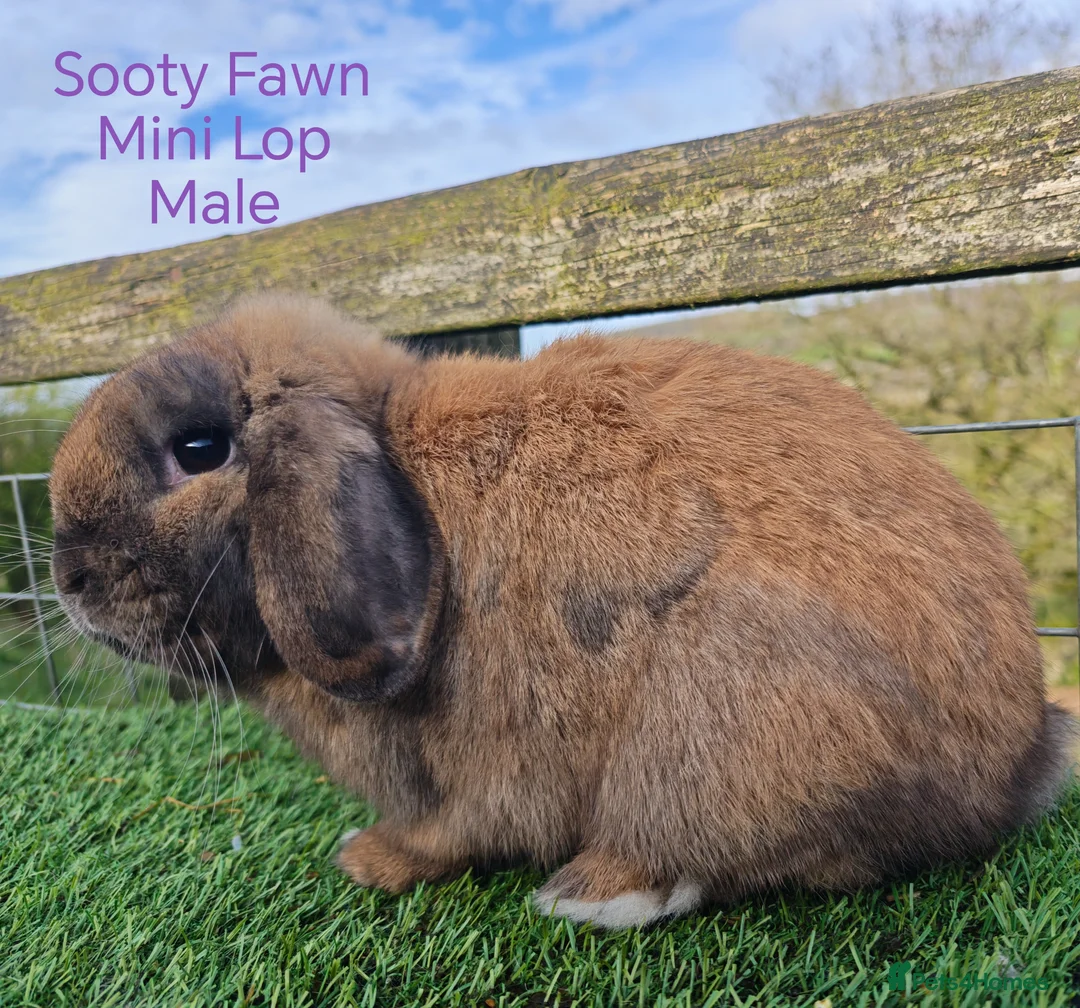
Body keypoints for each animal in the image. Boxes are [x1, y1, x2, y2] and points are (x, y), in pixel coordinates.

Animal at [49, 293, 1076, 929]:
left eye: (199, 449)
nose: (69, 580)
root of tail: (1014, 767)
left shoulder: (478, 770)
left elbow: (454, 831)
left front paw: (369, 861)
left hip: (723, 715)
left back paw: (591, 894)